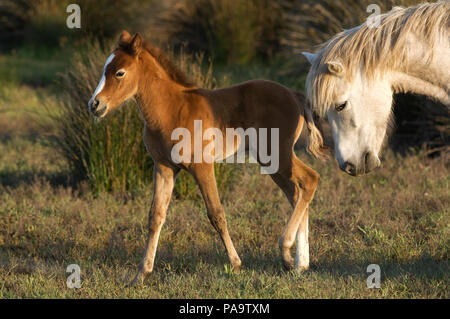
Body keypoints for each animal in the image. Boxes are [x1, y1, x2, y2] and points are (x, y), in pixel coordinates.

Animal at [88, 30, 326, 284]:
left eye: (119, 73)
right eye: (105, 69)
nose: (94, 104)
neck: (171, 109)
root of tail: (293, 94)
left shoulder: (202, 166)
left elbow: (216, 213)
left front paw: (236, 263)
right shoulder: (163, 167)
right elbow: (156, 216)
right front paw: (142, 273)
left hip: (278, 154)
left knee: (310, 180)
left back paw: (286, 250)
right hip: (271, 159)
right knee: (296, 192)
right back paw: (300, 263)